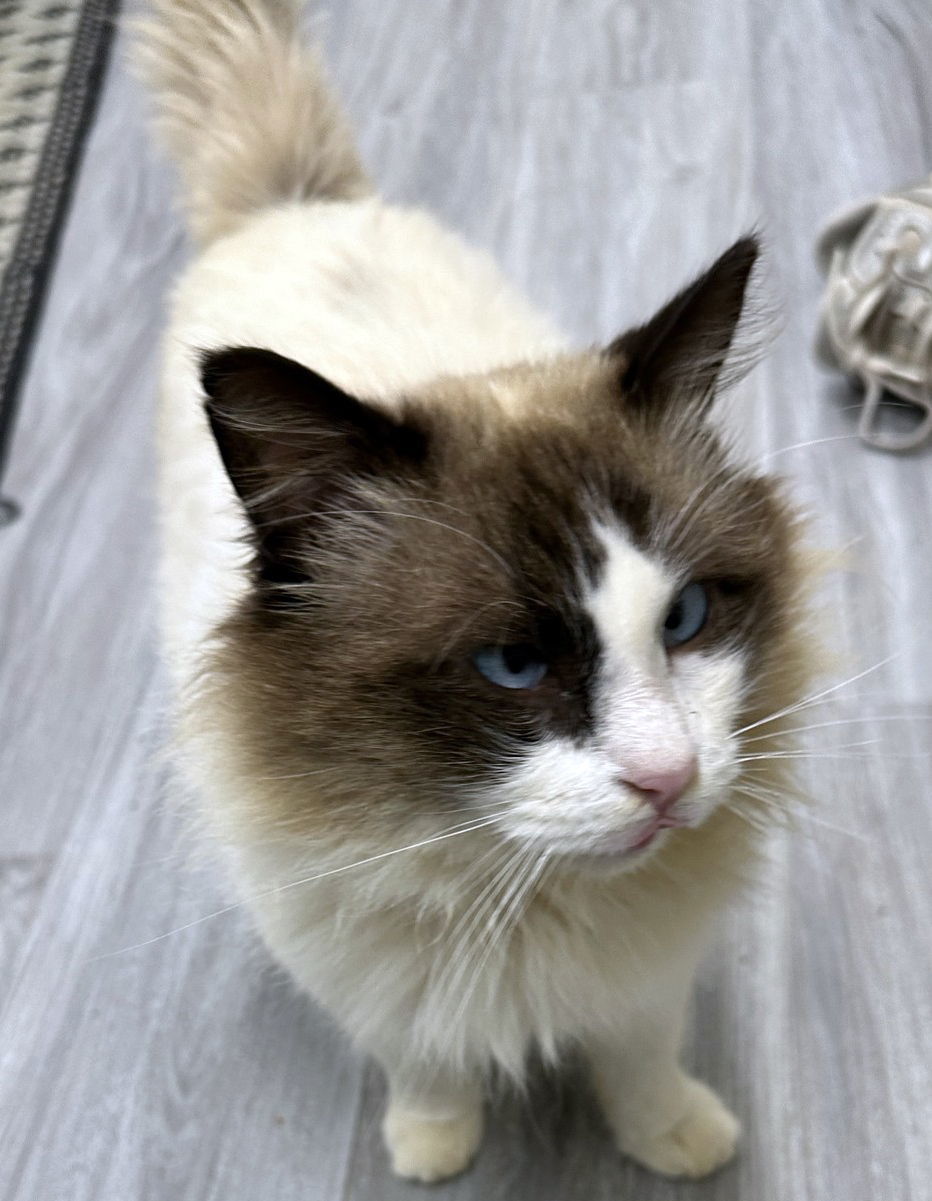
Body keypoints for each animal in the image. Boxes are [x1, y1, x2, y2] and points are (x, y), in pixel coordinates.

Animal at [134, 0, 811, 1181]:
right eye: (513, 664)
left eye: (684, 620)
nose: (670, 781)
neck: (520, 889)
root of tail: (295, 207)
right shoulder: (369, 973)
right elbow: (424, 1060)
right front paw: (432, 1146)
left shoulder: (643, 974)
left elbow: (640, 1055)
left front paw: (677, 1140)